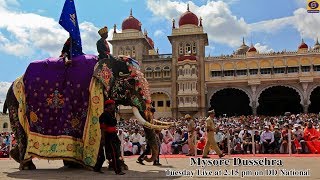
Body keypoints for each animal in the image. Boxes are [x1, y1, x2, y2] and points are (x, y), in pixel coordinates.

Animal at [2, 54, 172, 170]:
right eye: (131, 82)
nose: (146, 160)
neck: (109, 60)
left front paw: (118, 166)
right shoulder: (96, 94)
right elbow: (102, 130)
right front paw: (106, 165)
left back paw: (18, 157)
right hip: (15, 102)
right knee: (21, 132)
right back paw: (27, 166)